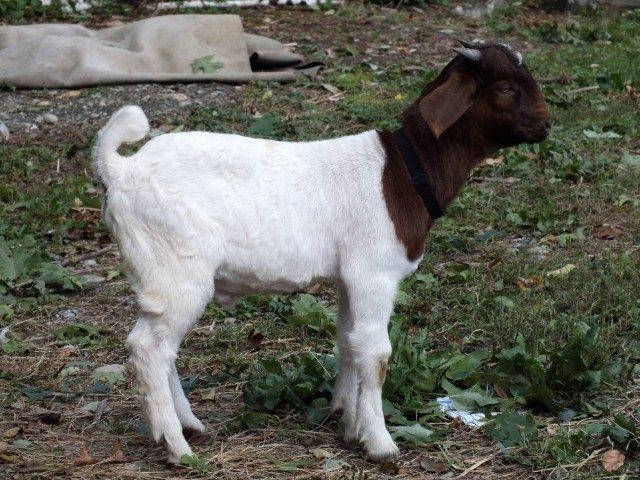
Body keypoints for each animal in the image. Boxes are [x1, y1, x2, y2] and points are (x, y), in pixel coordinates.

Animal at [93, 42, 551, 464]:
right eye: (505, 88)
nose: (546, 124)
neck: (404, 172)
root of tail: (121, 170)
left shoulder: (350, 277)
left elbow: (349, 341)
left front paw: (346, 421)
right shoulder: (373, 274)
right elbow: (377, 354)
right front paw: (380, 444)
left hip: (160, 274)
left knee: (162, 348)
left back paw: (189, 425)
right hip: (176, 267)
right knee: (149, 349)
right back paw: (177, 446)